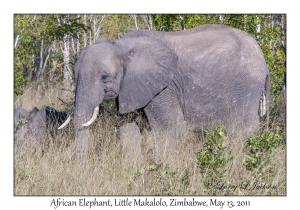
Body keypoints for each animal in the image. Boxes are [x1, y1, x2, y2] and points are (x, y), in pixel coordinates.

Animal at [59, 24, 270, 162]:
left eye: (105, 78)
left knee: (241, 129)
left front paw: (162, 171)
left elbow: (170, 130)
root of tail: (263, 59)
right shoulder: (132, 88)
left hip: (246, 87)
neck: (121, 46)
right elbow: (128, 129)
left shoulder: (163, 88)